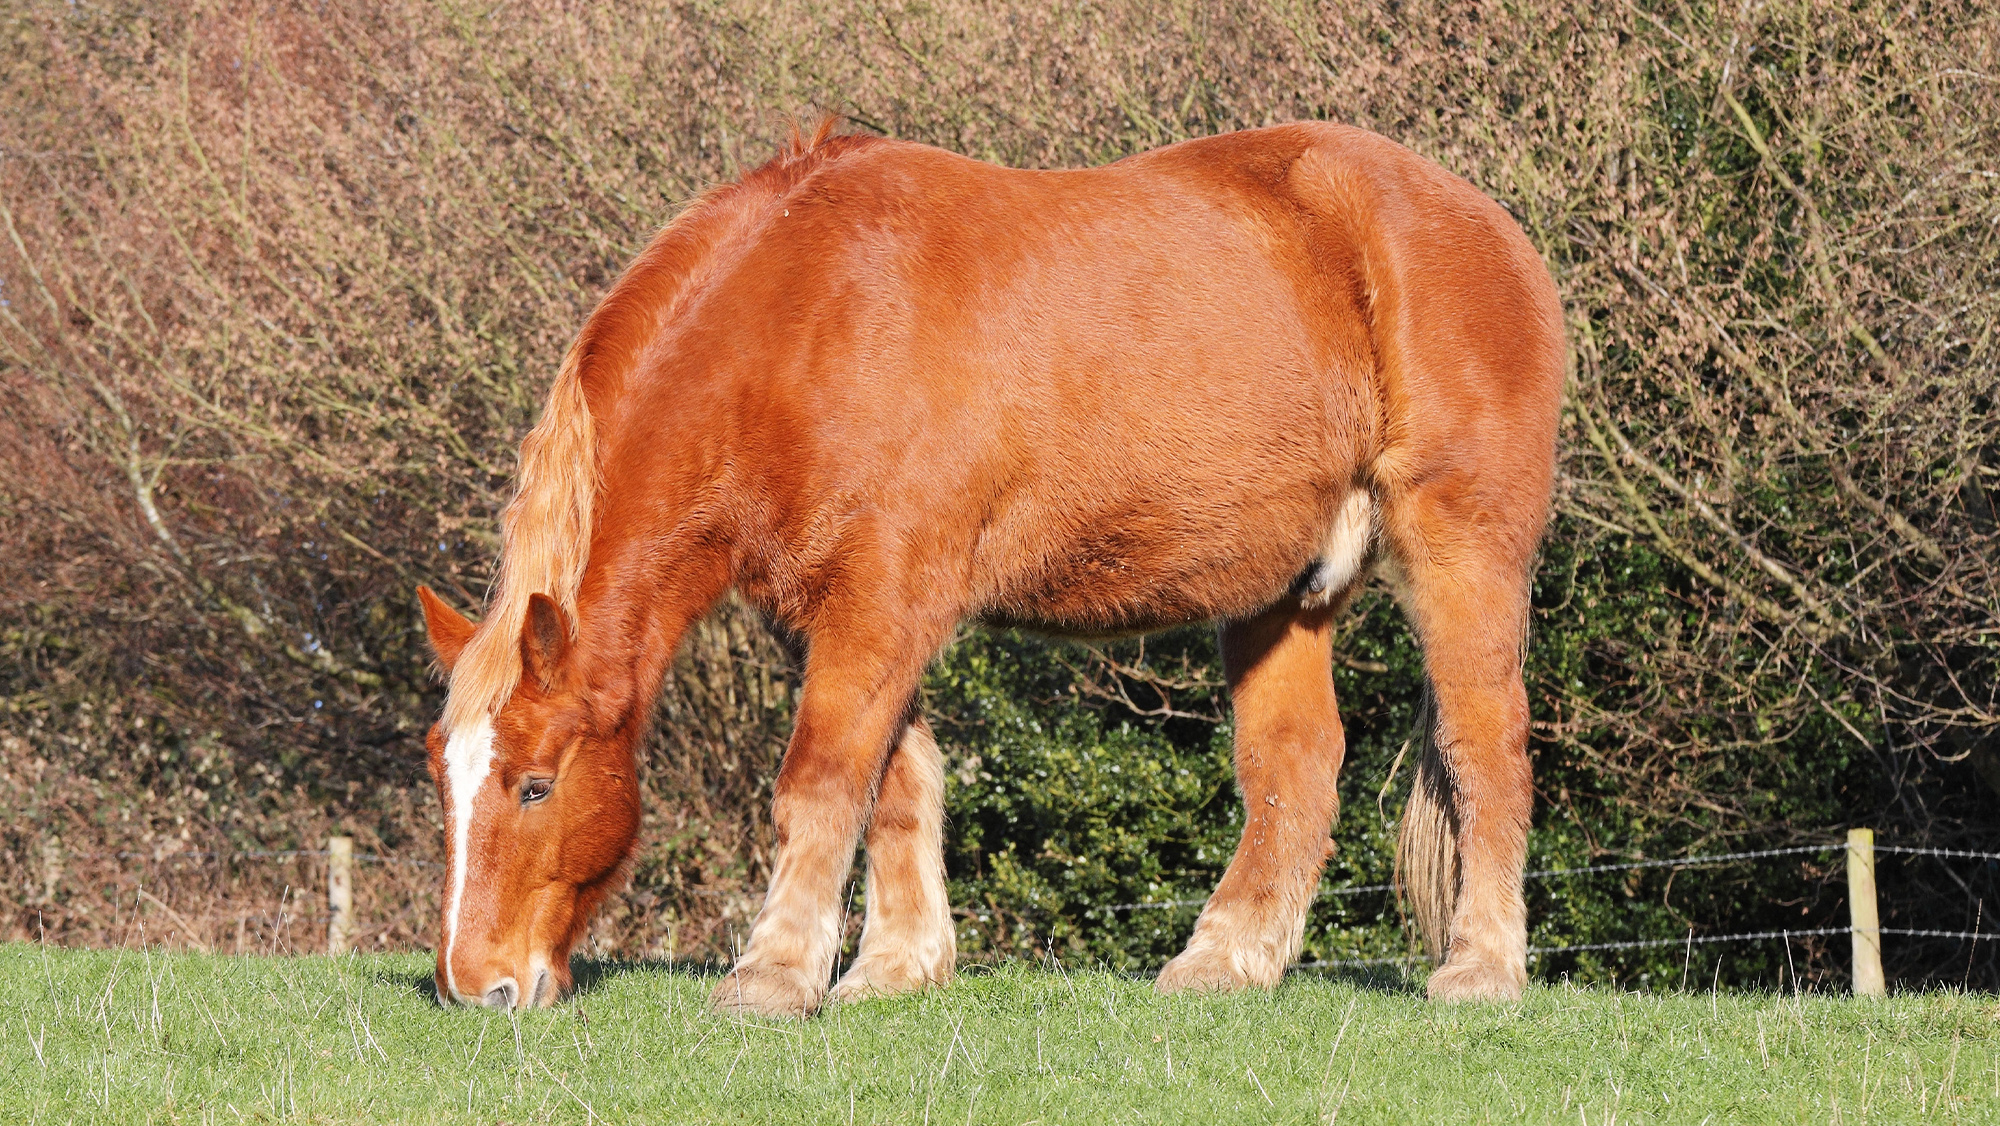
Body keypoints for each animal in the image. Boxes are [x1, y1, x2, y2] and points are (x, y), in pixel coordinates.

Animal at [415, 117, 1564, 1016]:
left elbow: (820, 778)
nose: (478, 986)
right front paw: (893, 966)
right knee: (1294, 769)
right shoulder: (838, 613)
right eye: (443, 779)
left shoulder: (883, 601)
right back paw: (1226, 959)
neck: (806, 317)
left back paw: (1480, 970)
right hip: (1280, 594)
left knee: (1485, 747)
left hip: (1460, 549)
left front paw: (774, 975)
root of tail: (1489, 227)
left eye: (532, 785)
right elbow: (896, 781)